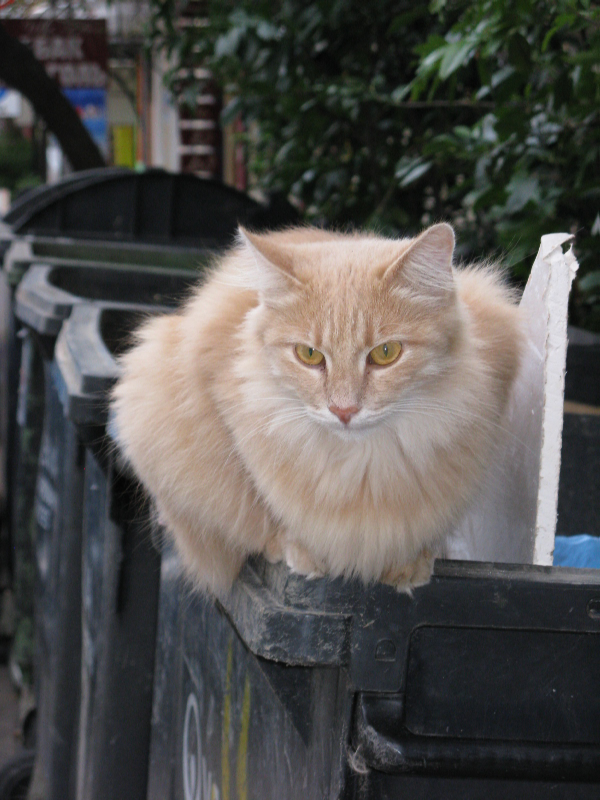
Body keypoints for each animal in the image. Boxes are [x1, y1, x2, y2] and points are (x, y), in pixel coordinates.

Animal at [111, 223, 522, 596]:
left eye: (385, 353)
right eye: (309, 354)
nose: (343, 410)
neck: (362, 468)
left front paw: (412, 562)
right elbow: (266, 510)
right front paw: (297, 550)